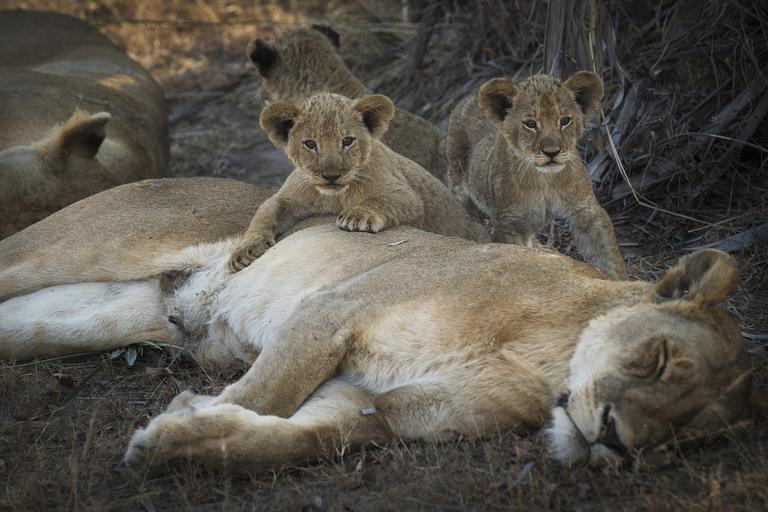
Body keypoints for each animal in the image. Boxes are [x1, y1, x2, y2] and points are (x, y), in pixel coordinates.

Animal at [0, 178, 757, 468]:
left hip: (87, 316)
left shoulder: (375, 404)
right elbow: (264, 394)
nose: (617, 442)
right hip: (74, 246)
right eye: (659, 359)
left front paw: (183, 440)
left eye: (686, 435)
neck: (549, 360)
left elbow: (294, 438)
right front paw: (176, 421)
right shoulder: (333, 312)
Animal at [227, 92, 489, 272]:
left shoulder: (407, 195)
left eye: (347, 141)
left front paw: (356, 216)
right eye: (310, 144)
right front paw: (243, 251)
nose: (331, 175)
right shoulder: (286, 197)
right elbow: (263, 213)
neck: (335, 196)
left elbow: (379, 200)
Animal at [446, 72, 627, 279]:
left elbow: (606, 251)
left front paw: (621, 280)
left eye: (564, 121)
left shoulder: (585, 210)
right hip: (456, 174)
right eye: (530, 124)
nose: (552, 152)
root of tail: (470, 95)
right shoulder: (510, 222)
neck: (545, 179)